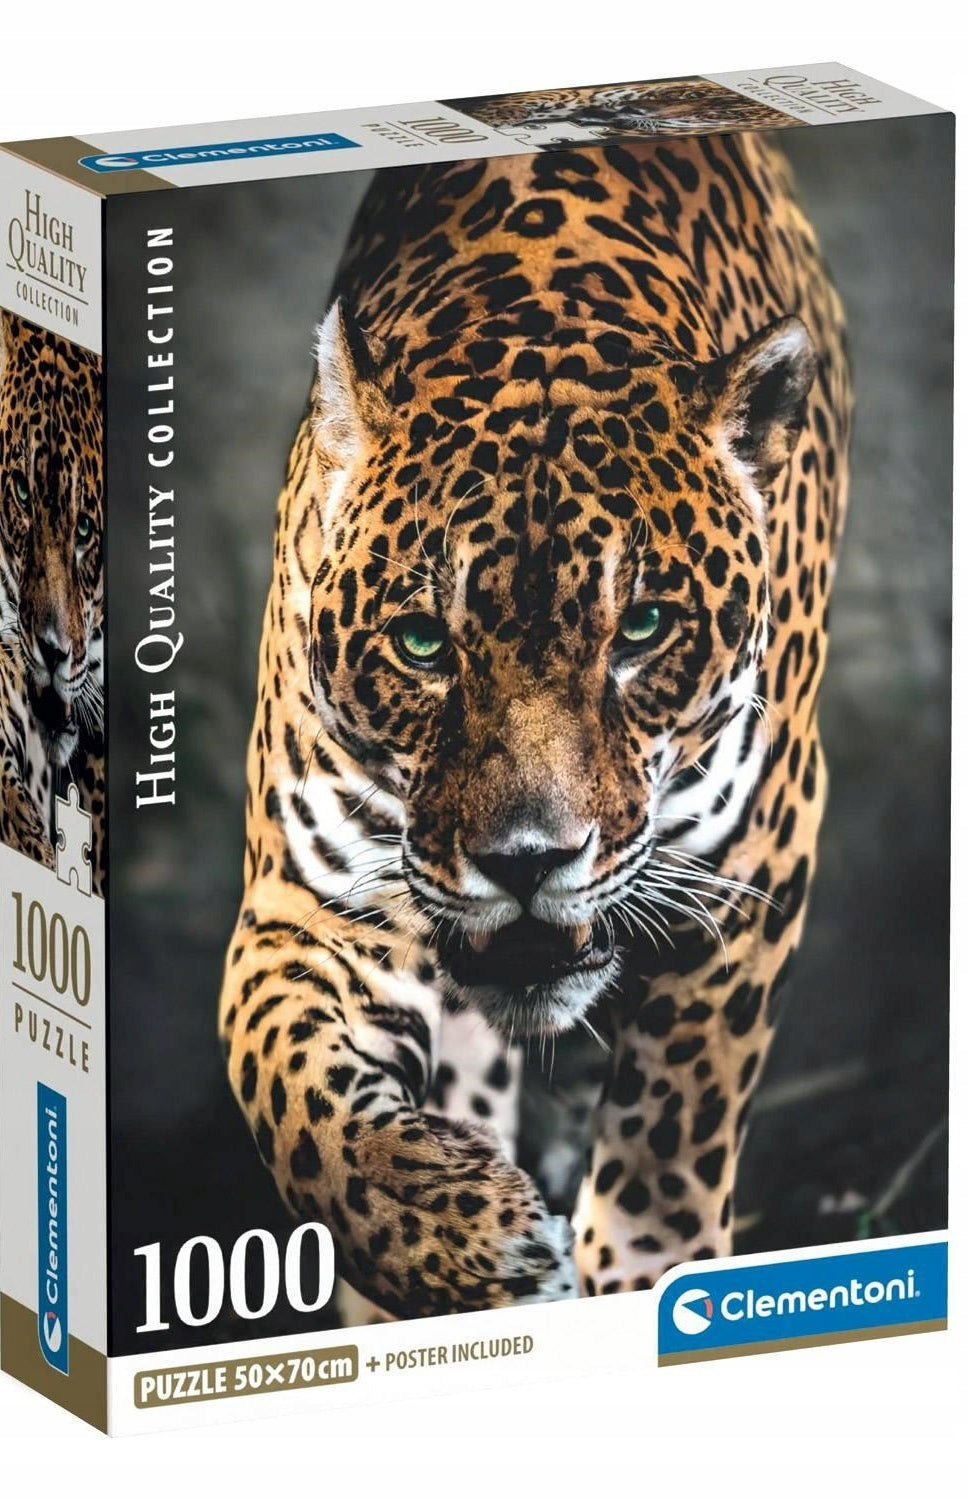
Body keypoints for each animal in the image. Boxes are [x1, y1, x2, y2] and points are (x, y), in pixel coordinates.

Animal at [219, 130, 851, 1317]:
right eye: (424, 643)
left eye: (643, 627)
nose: (525, 862)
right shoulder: (309, 907)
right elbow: (295, 1096)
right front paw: (463, 1239)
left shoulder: (748, 872)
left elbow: (671, 1135)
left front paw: (646, 1271)